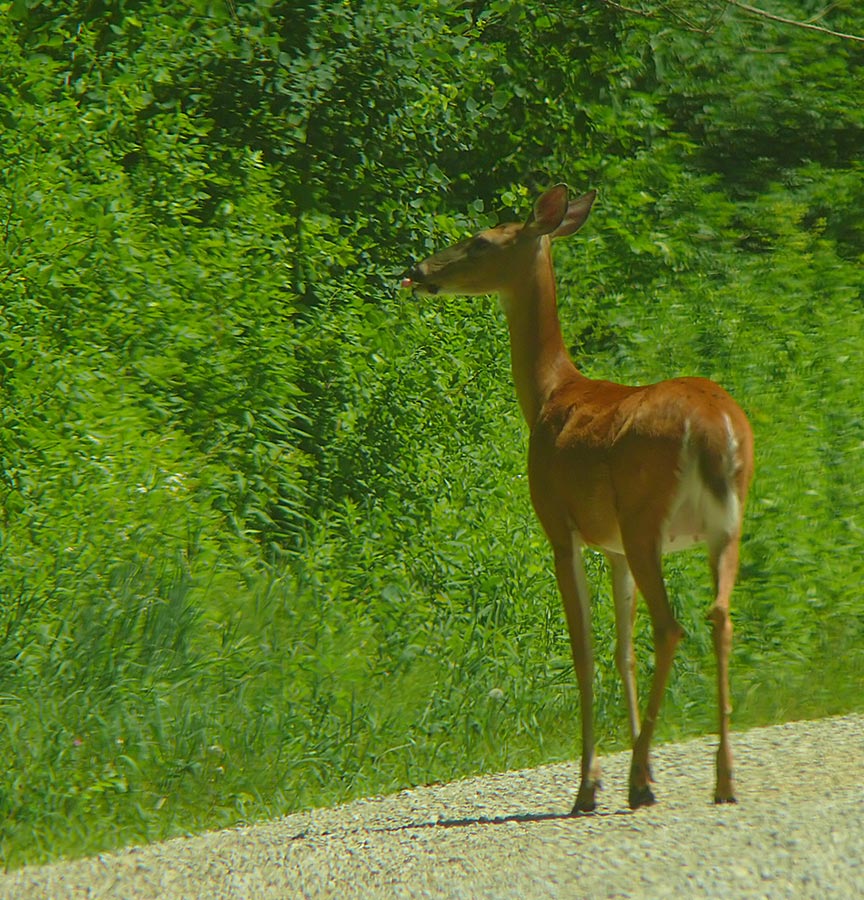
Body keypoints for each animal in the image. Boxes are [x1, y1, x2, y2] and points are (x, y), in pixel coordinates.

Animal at [401, 184, 754, 812]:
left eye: (480, 241)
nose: (418, 270)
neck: (550, 393)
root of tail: (716, 428)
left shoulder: (559, 526)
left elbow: (584, 650)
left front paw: (591, 784)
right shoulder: (610, 548)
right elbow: (621, 651)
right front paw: (636, 767)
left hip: (644, 517)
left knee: (672, 626)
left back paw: (640, 781)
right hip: (723, 525)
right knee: (718, 617)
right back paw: (722, 779)